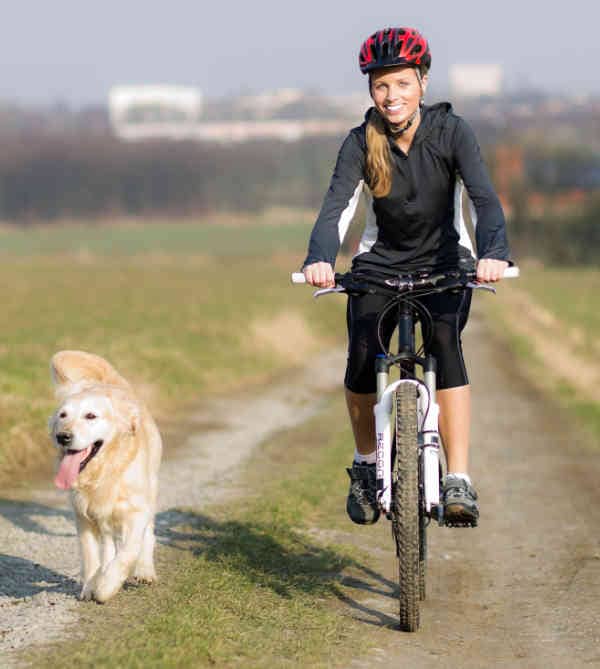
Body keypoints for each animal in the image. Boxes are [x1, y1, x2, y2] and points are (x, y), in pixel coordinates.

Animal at [48, 352, 162, 604]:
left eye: (91, 416)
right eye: (63, 415)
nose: (63, 436)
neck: (103, 473)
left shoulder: (137, 511)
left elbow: (128, 552)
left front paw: (106, 587)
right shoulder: (83, 515)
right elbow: (91, 556)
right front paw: (91, 586)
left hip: (151, 489)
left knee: (147, 535)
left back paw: (145, 570)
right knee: (108, 543)